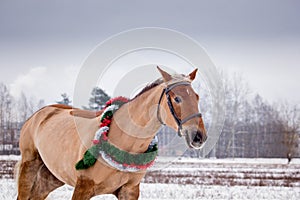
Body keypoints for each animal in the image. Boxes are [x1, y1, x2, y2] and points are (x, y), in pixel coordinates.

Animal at [15, 66, 206, 199]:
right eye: (177, 98)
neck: (122, 141)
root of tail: (38, 115)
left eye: (196, 96)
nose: (199, 136)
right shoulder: (83, 188)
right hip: (29, 166)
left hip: (52, 177)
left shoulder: (129, 191)